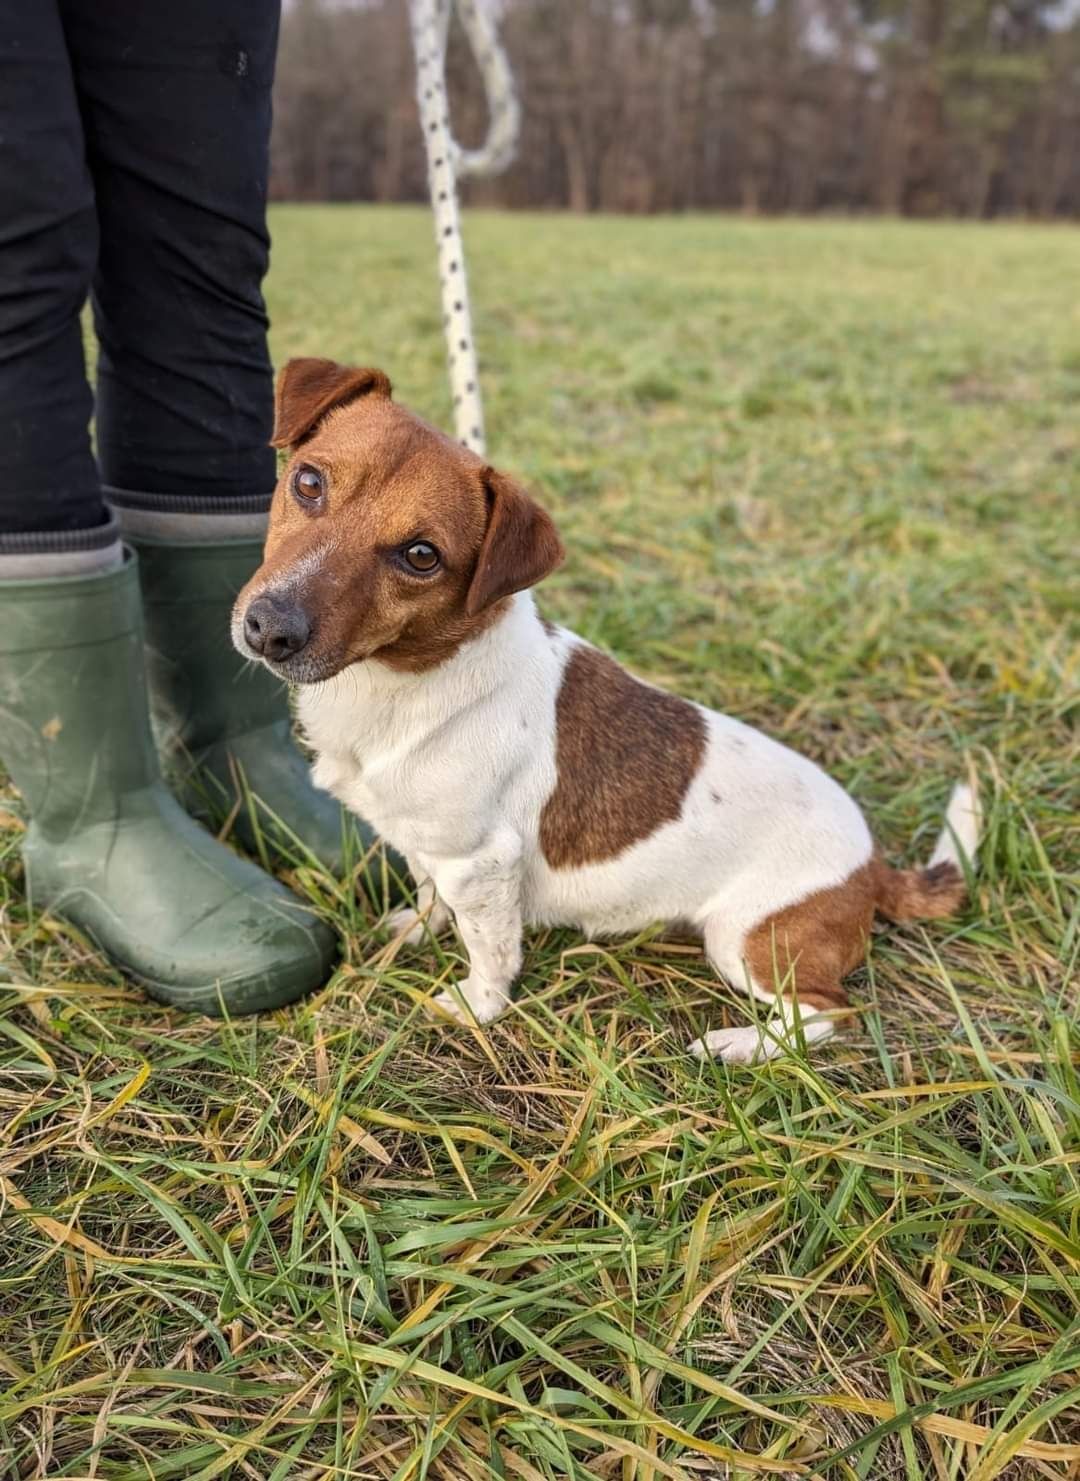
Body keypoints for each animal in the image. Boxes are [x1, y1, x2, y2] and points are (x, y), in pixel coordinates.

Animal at [234, 355, 977, 1066]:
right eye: (308, 483)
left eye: (421, 556)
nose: (270, 629)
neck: (403, 680)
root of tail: (874, 866)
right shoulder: (429, 845)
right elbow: (428, 892)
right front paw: (416, 929)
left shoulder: (483, 861)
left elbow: (490, 949)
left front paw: (477, 1005)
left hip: (748, 938)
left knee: (827, 1014)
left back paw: (737, 1046)